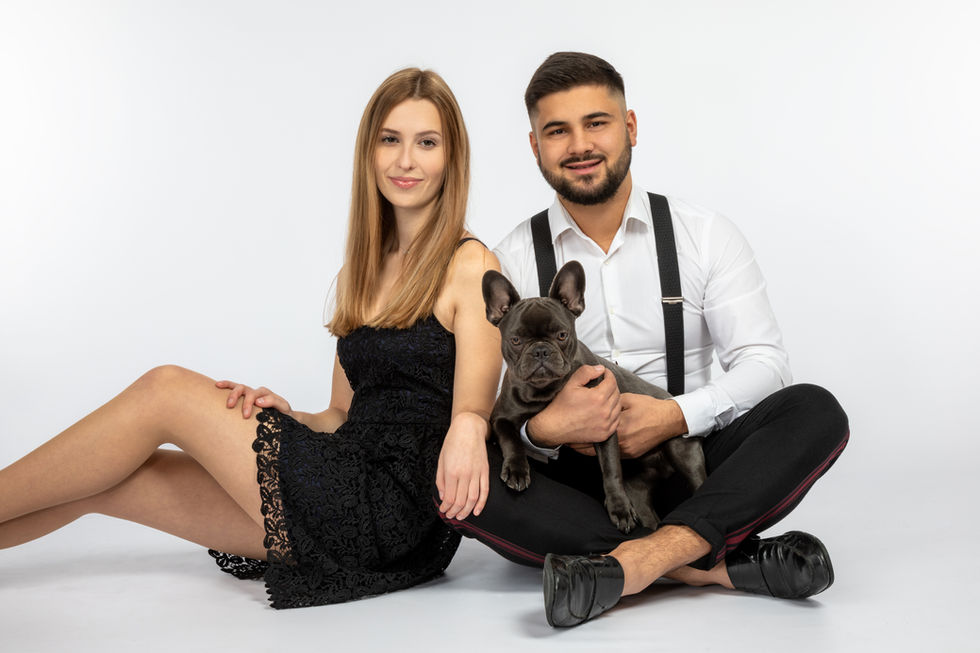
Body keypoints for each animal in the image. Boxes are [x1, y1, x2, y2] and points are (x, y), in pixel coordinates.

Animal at [482, 260, 707, 533]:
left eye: (562, 335)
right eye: (515, 340)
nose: (540, 350)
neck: (545, 391)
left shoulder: (604, 426)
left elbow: (610, 469)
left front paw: (619, 508)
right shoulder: (500, 418)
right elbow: (511, 440)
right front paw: (516, 470)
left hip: (683, 451)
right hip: (639, 488)